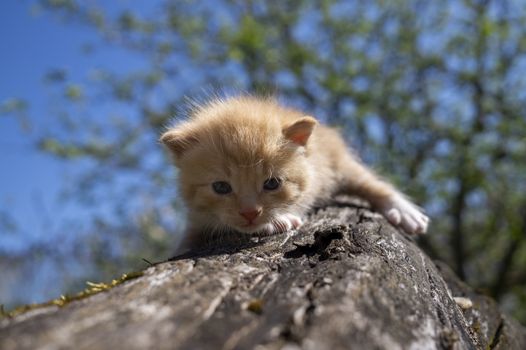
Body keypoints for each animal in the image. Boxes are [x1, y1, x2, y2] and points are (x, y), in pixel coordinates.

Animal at [161, 94, 428, 250]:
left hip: (339, 163)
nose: (250, 213)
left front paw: (278, 219)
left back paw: (404, 212)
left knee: (370, 183)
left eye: (272, 183)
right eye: (220, 187)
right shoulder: (195, 222)